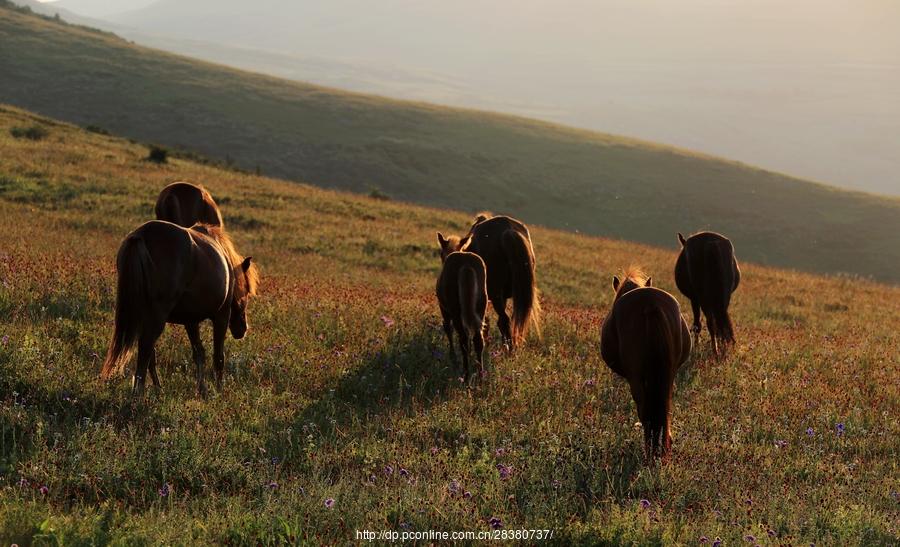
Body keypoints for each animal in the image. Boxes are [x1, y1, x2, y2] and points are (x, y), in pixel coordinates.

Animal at [100, 220, 258, 396]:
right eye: (247, 292)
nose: (243, 329)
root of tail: (141, 235)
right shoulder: (221, 316)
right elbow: (218, 356)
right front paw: (219, 391)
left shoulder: (191, 321)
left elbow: (199, 354)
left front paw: (202, 390)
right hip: (157, 317)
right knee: (145, 348)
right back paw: (139, 392)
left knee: (149, 354)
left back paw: (157, 389)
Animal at [434, 233, 486, 384]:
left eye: (440, 253)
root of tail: (466, 265)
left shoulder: (444, 309)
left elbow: (447, 328)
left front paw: (453, 358)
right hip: (481, 307)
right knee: (478, 339)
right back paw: (480, 377)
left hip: (455, 310)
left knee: (462, 339)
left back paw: (466, 376)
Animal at [600, 268, 692, 458]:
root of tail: (650, 303)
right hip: (668, 375)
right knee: (664, 408)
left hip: (636, 377)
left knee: (645, 409)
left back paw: (649, 449)